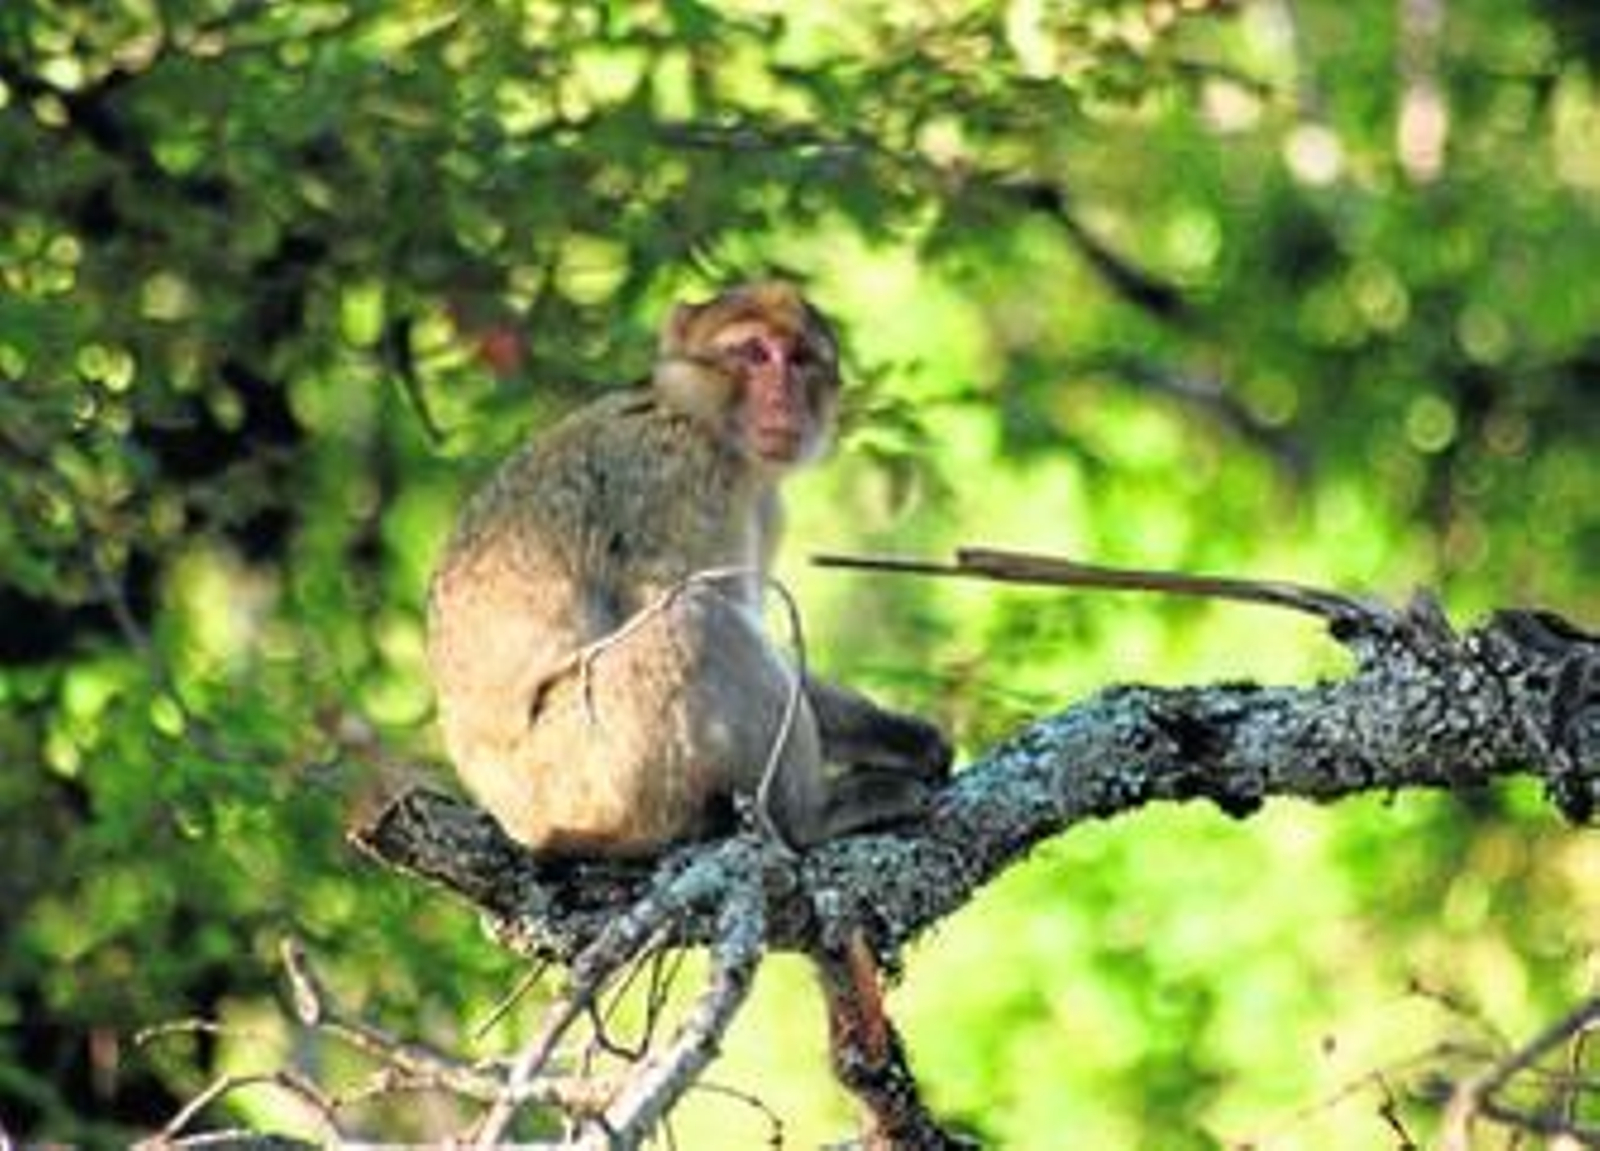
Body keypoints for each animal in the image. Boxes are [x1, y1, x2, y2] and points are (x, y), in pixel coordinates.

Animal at [425, 281, 952, 857]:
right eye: (754, 353)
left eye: (799, 359)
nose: (783, 396)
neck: (699, 416)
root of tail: (515, 818)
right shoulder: (681, 470)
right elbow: (682, 598)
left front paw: (904, 738)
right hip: (587, 773)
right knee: (695, 617)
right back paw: (805, 818)